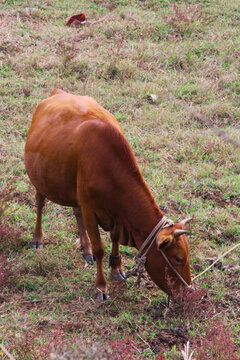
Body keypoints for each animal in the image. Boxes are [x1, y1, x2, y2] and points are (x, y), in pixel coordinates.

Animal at [24, 88, 192, 300]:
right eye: (178, 258)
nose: (190, 292)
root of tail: (58, 92)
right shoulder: (90, 208)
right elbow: (100, 249)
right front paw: (101, 287)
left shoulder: (115, 215)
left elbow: (114, 239)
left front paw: (116, 268)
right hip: (40, 178)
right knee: (40, 203)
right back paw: (37, 239)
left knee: (75, 211)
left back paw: (85, 249)